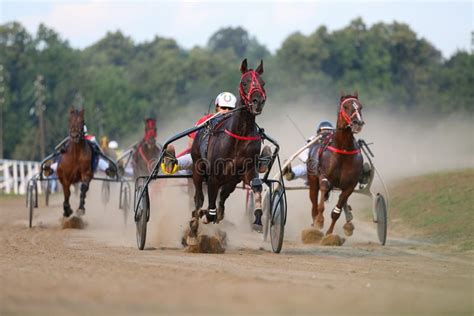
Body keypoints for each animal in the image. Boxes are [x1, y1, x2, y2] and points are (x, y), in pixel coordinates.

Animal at [308, 94, 366, 237]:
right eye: (345, 106)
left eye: (360, 107)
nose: (357, 123)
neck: (343, 149)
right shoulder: (323, 175)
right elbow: (322, 195)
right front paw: (319, 221)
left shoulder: (350, 185)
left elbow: (337, 210)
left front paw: (329, 233)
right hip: (312, 180)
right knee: (314, 202)